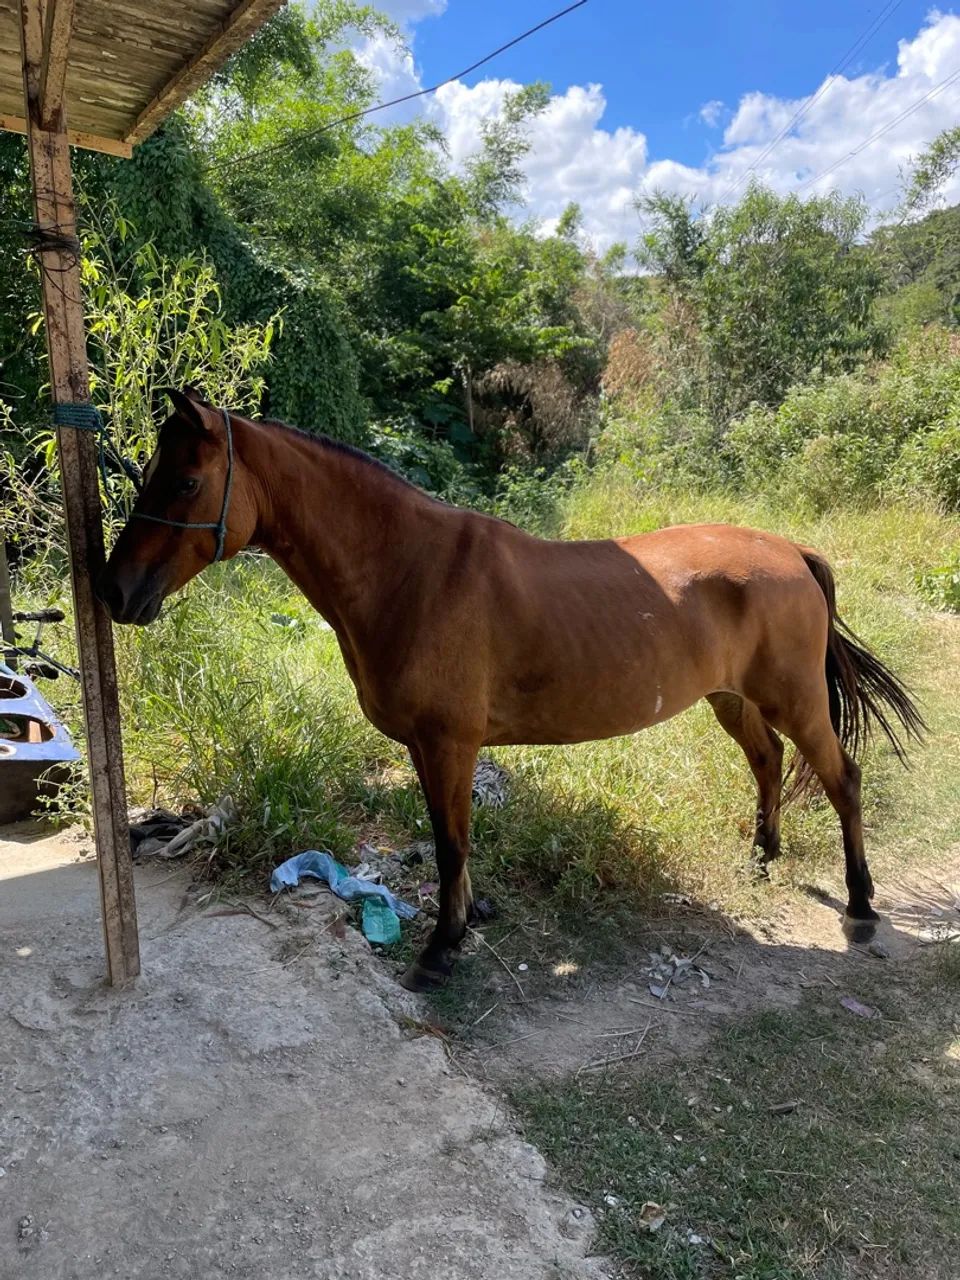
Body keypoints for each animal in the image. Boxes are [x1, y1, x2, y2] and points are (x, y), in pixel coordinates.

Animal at [98, 388, 924, 991]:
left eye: (185, 480)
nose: (115, 590)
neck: (412, 571)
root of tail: (792, 549)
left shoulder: (448, 744)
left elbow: (450, 844)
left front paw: (441, 949)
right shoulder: (433, 749)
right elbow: (454, 844)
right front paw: (465, 923)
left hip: (795, 700)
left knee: (842, 778)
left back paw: (859, 903)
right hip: (732, 699)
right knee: (766, 759)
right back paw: (762, 858)